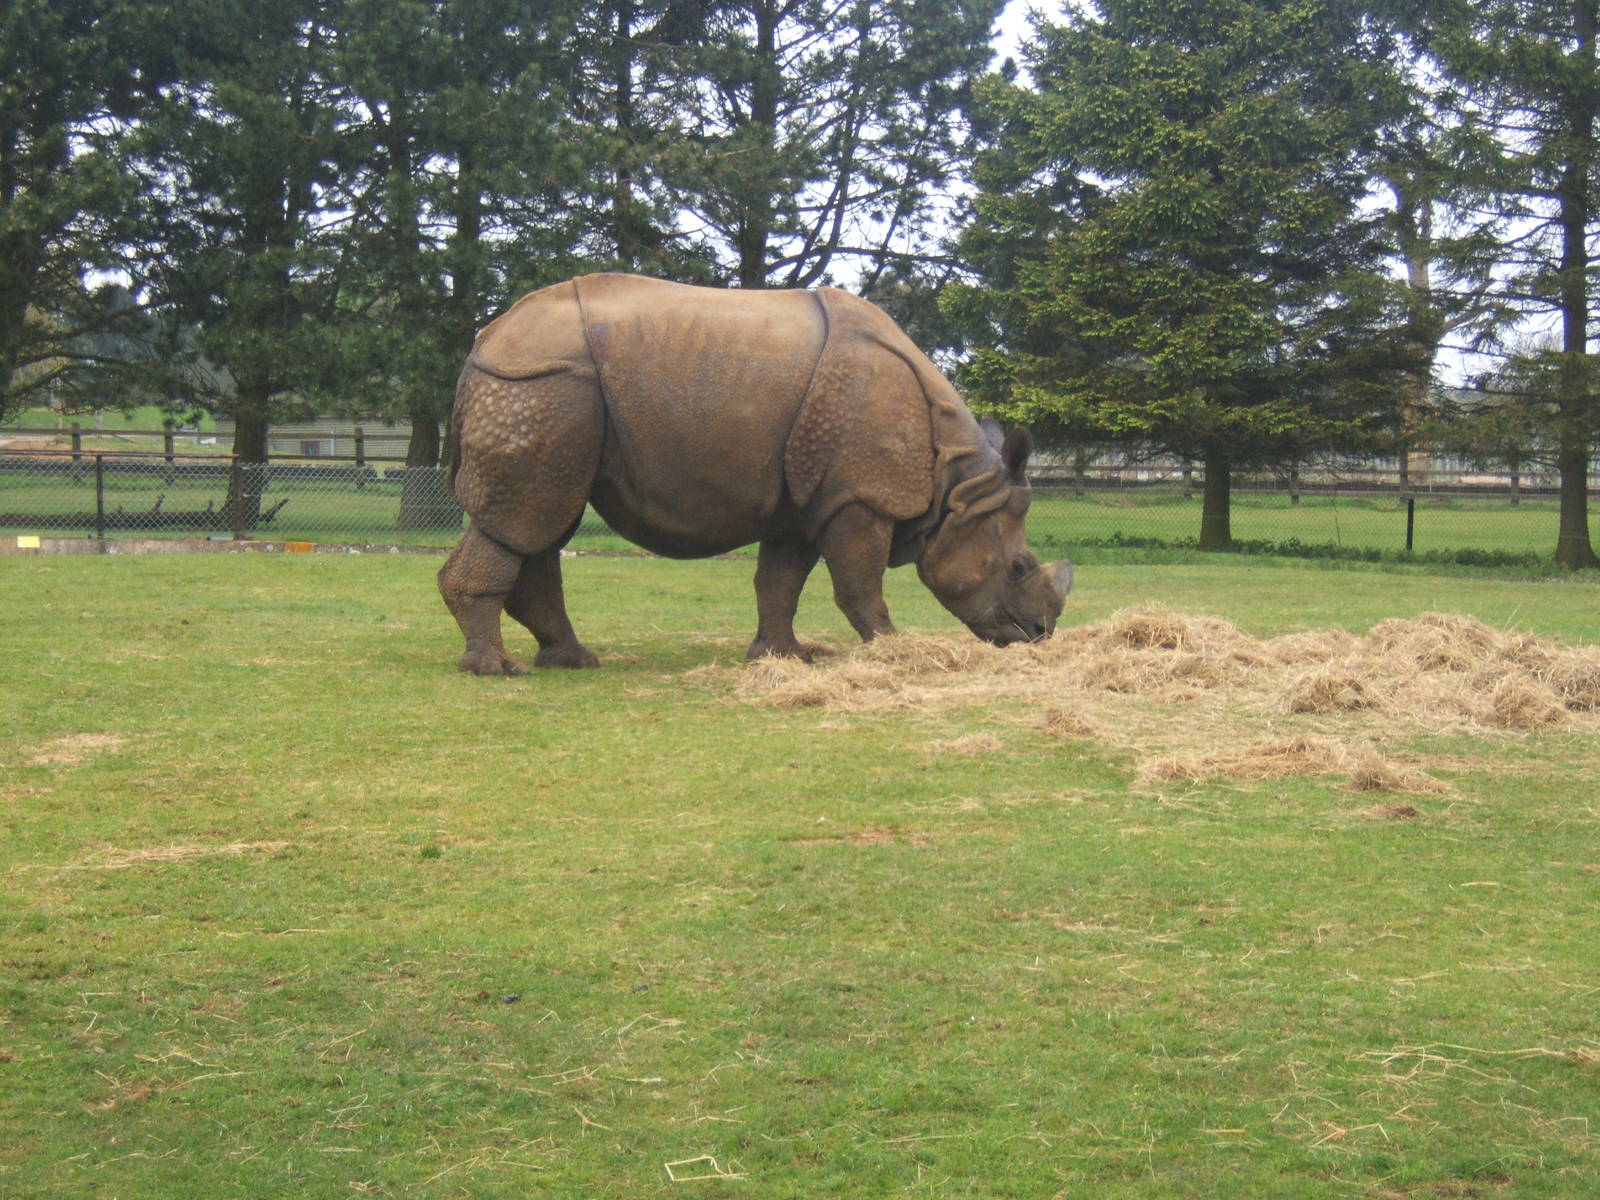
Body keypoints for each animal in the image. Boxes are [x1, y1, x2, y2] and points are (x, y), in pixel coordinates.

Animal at [438, 273, 1073, 675]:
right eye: (1018, 568)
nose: (1038, 636)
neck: (955, 487)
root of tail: (487, 338)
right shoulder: (859, 496)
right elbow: (859, 585)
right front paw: (892, 652)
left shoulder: (805, 500)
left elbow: (779, 583)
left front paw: (783, 656)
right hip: (541, 384)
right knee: (526, 520)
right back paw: (498, 669)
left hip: (553, 390)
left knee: (543, 522)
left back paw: (572, 661)